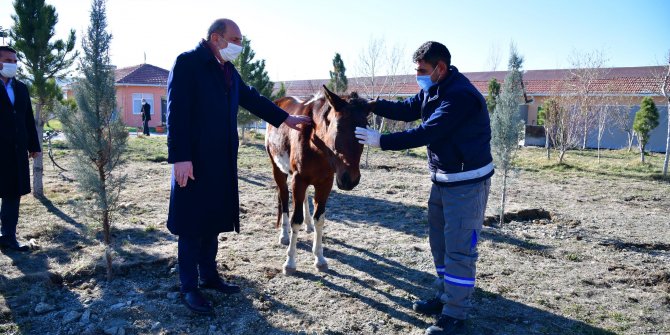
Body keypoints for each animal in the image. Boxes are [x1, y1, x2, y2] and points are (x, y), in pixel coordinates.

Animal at [266, 86, 372, 276]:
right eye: (339, 126)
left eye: (365, 128)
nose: (350, 179)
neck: (316, 143)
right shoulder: (298, 179)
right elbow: (295, 220)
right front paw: (290, 262)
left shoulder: (325, 183)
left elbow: (320, 219)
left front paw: (320, 258)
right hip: (278, 170)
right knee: (284, 197)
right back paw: (284, 235)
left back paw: (308, 225)